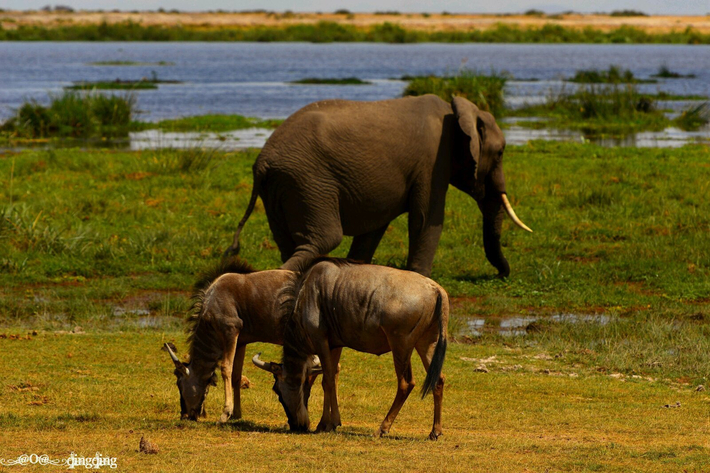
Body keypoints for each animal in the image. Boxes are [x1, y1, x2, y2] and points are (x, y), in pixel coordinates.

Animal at [225, 93, 532, 276]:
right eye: (500, 153)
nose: (502, 274)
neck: (456, 109)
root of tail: (262, 161)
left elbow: (374, 228)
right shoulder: (432, 162)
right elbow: (426, 219)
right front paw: (420, 279)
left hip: (281, 187)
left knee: (289, 244)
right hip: (308, 182)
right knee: (324, 239)